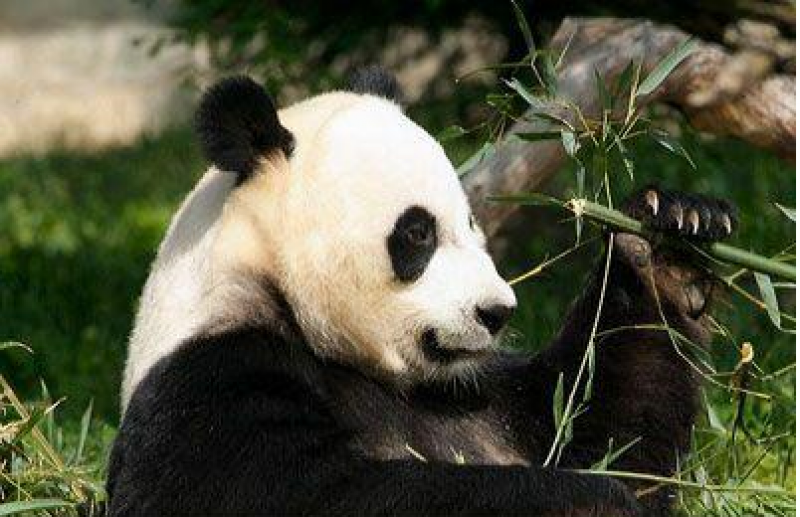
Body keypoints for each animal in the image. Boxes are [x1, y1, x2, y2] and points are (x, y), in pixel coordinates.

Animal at [107, 68, 737, 517]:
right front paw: (583, 502)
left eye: (472, 222)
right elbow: (297, 496)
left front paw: (670, 242)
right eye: (417, 233)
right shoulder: (208, 383)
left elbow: (606, 430)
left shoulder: (482, 396)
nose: (496, 313)